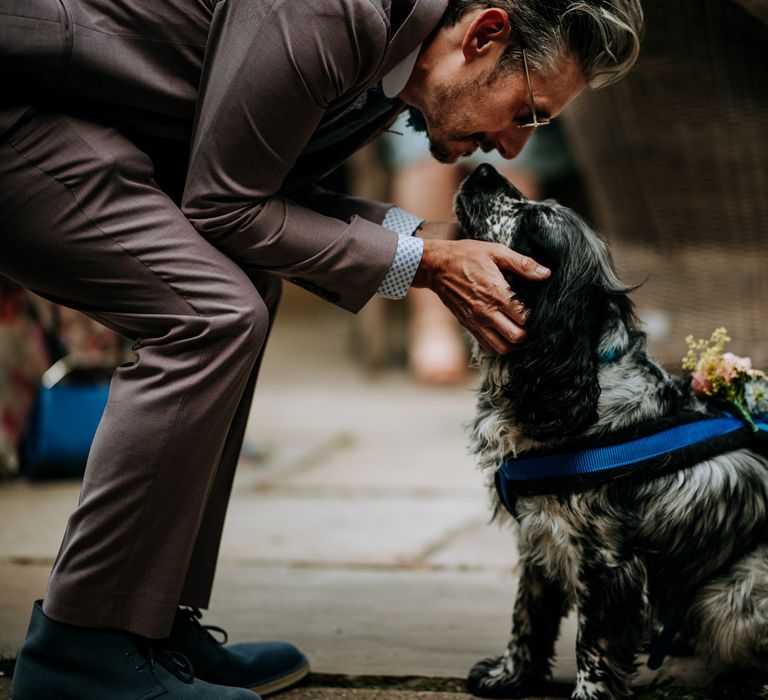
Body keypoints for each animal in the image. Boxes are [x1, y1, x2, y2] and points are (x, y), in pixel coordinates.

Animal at [452, 164, 768, 700]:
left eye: (533, 222)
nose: (483, 167)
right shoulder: (540, 538)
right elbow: (526, 617)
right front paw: (509, 676)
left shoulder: (607, 563)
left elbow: (593, 647)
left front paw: (587, 695)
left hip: (733, 594)